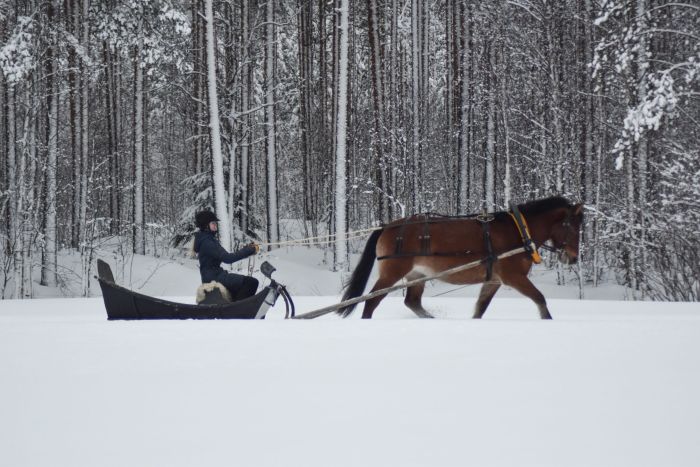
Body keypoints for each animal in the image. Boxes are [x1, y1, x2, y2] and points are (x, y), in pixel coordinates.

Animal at [336, 196, 584, 320]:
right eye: (572, 227)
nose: (572, 258)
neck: (518, 230)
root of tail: (387, 226)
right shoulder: (514, 277)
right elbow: (540, 298)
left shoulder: (493, 280)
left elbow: (480, 308)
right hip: (392, 272)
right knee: (371, 301)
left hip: (417, 274)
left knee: (412, 302)